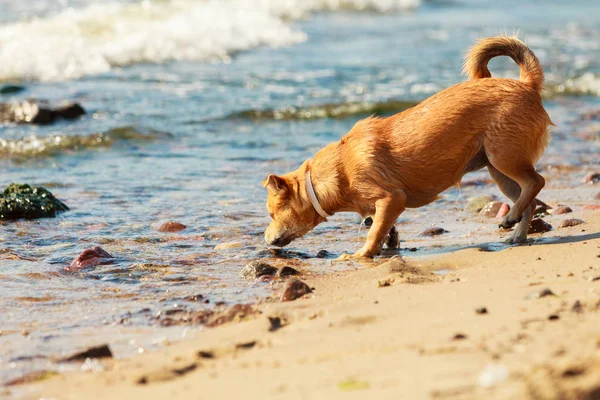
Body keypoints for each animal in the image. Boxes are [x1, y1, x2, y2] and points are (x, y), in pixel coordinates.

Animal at [262, 36, 552, 258]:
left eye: (272, 213)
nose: (265, 239)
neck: (339, 167)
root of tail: (526, 85)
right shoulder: (383, 206)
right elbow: (382, 226)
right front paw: (388, 243)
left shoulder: (392, 198)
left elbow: (374, 231)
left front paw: (361, 255)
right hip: (497, 169)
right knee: (529, 201)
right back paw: (517, 232)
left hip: (503, 157)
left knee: (536, 181)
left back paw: (512, 219)